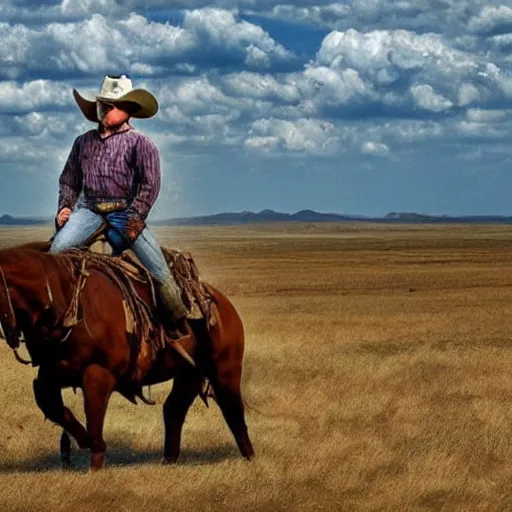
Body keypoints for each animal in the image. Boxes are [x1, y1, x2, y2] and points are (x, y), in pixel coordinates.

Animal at [0, 243, 255, 468]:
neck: (65, 300)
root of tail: (223, 304)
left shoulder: (98, 375)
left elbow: (94, 424)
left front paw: (93, 465)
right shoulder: (51, 374)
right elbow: (51, 405)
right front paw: (75, 443)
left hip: (225, 370)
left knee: (232, 409)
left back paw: (250, 457)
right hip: (189, 374)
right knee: (174, 410)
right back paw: (168, 461)